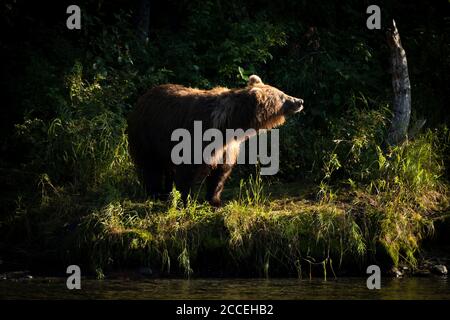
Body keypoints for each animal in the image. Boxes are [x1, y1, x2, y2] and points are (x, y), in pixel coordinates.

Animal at [126, 74, 302, 208]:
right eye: (282, 96)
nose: (300, 101)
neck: (228, 126)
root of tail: (142, 98)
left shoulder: (227, 148)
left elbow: (221, 173)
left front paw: (215, 201)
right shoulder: (195, 137)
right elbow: (187, 171)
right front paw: (186, 200)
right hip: (146, 135)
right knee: (150, 166)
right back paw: (155, 193)